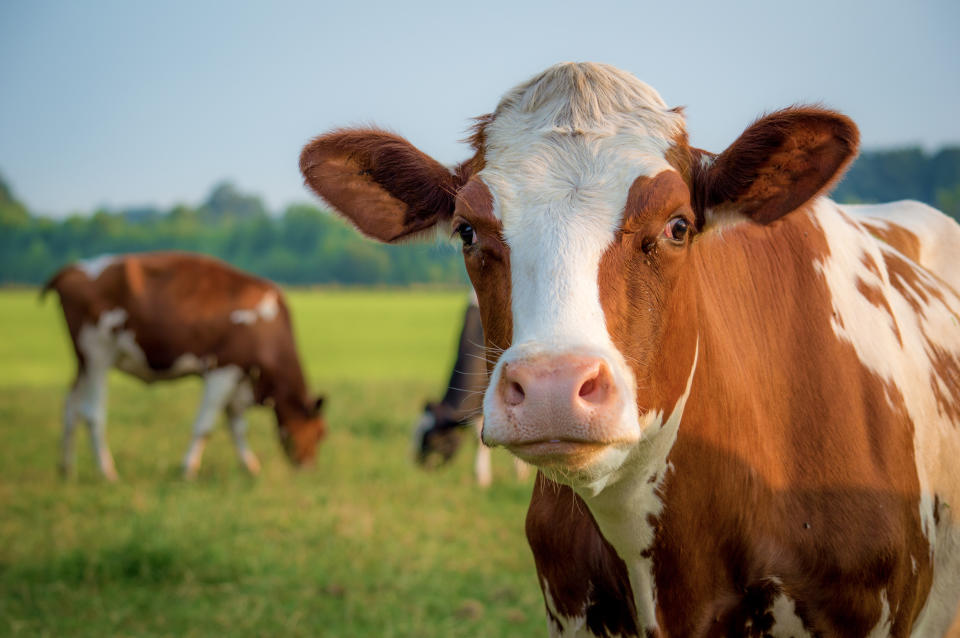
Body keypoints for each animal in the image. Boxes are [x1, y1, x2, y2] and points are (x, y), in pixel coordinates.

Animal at [43, 251, 328, 480]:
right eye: (320, 432)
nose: (310, 468)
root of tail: (74, 269)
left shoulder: (240, 379)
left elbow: (237, 427)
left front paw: (250, 467)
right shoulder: (223, 370)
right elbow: (205, 425)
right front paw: (188, 470)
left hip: (82, 361)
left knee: (71, 407)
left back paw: (66, 469)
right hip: (98, 354)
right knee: (92, 413)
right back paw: (107, 472)